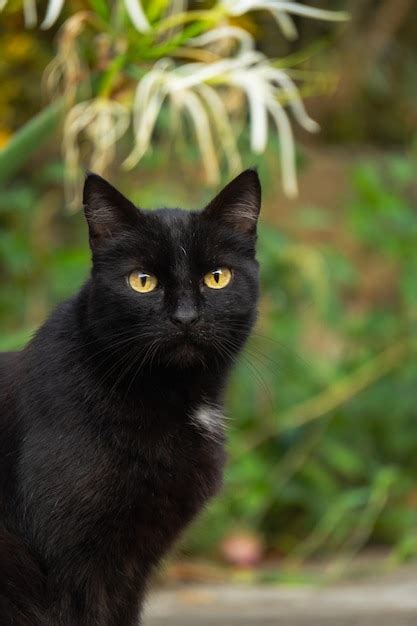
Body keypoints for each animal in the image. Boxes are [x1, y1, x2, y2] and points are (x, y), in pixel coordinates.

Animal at [0, 168, 260, 620]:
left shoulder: (132, 563)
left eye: (217, 277)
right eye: (142, 282)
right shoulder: (74, 559)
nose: (186, 317)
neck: (171, 396)